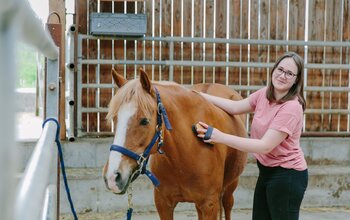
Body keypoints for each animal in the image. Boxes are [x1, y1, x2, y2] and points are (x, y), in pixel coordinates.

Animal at [102, 68, 247, 219]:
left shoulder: (209, 204)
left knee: (228, 205)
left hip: (231, 186)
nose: (112, 177)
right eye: (114, 119)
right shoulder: (163, 203)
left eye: (144, 121)